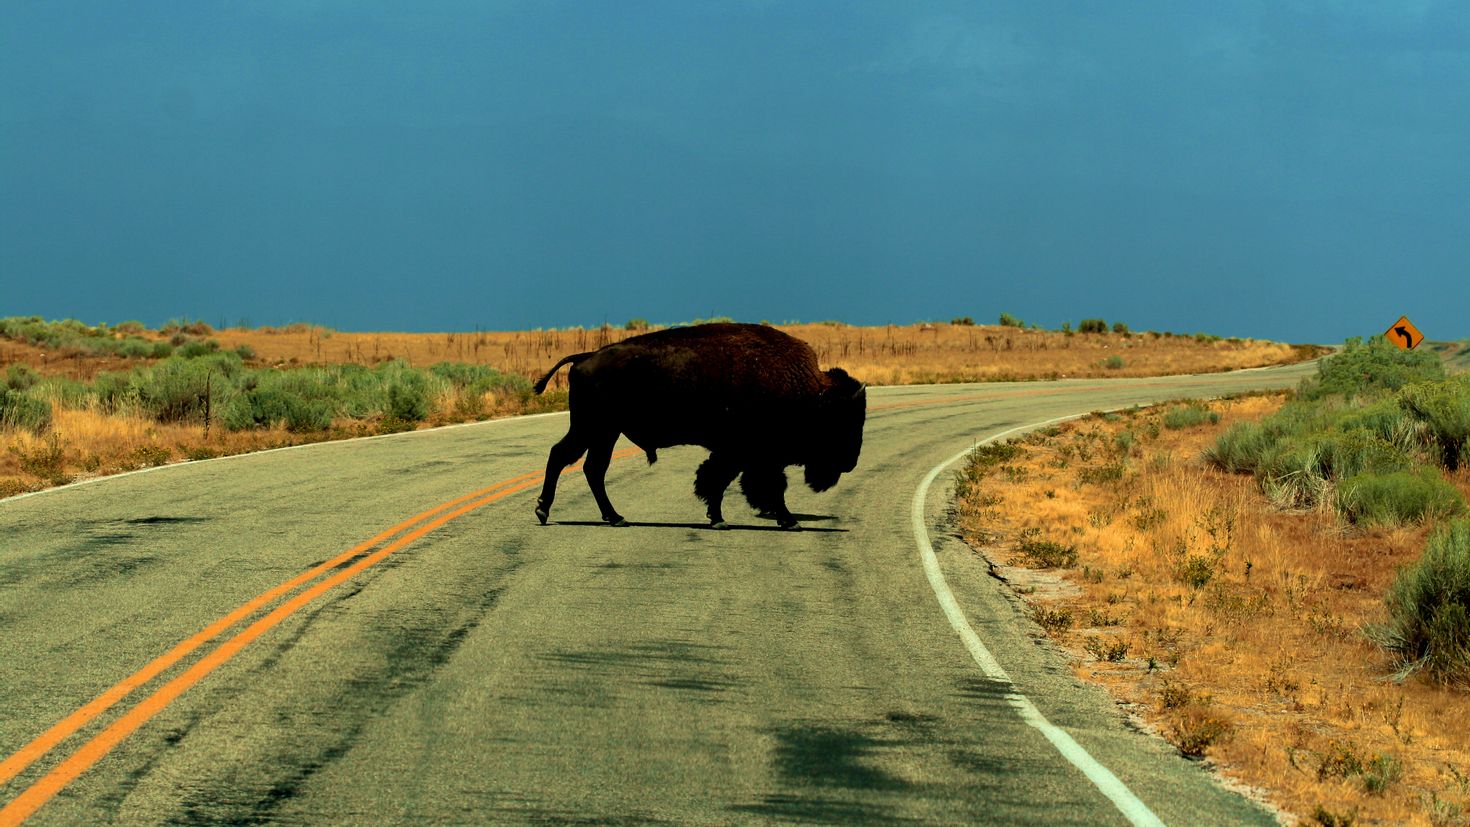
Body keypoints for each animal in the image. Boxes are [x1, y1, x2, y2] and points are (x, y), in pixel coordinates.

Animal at [535, 323, 864, 531]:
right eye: (842, 420)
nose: (850, 462)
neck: (810, 394)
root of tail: (586, 357)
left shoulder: (738, 454)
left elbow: (719, 480)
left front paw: (717, 518)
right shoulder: (753, 455)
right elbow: (761, 485)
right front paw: (788, 520)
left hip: (604, 432)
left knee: (591, 467)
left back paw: (614, 517)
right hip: (592, 427)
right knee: (563, 456)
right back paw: (544, 511)